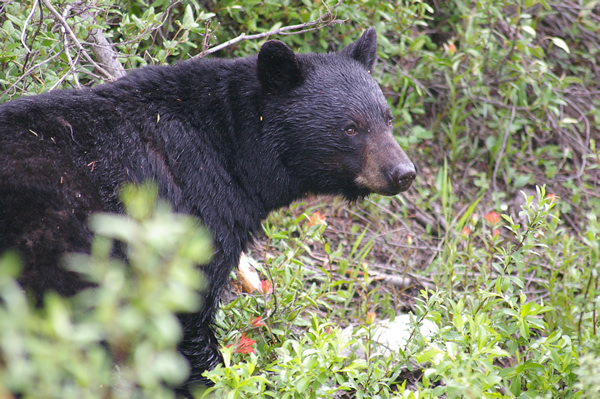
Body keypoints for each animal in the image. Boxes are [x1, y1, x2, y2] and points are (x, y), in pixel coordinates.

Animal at [0, 28, 412, 390]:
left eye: (387, 118)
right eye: (350, 128)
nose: (403, 172)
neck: (232, 150)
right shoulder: (192, 207)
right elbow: (184, 311)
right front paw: (218, 380)